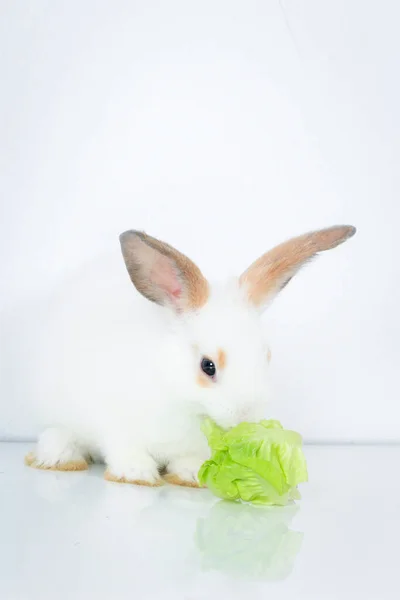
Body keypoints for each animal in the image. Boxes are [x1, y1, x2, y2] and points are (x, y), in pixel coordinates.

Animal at [25, 226, 356, 488]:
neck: (181, 398)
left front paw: (191, 476)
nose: (243, 418)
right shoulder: (113, 420)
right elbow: (123, 448)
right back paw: (59, 458)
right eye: (207, 366)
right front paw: (137, 474)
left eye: (266, 356)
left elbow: (187, 460)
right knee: (56, 435)